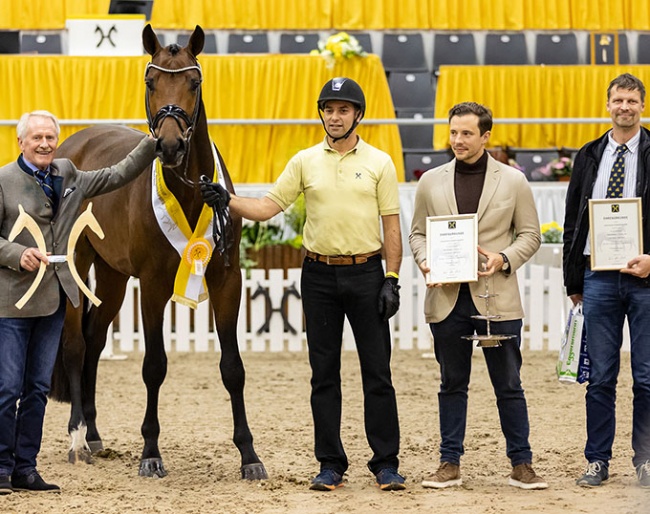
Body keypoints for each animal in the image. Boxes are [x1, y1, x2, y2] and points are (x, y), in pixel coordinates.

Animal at [48, 24, 266, 480]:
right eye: (150, 82)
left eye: (194, 82)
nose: (169, 145)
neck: (190, 192)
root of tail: (72, 148)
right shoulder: (152, 286)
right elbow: (154, 366)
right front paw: (151, 451)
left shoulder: (227, 280)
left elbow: (233, 368)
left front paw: (249, 455)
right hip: (76, 267)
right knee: (76, 345)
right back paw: (78, 435)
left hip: (112, 277)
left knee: (94, 340)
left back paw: (94, 433)